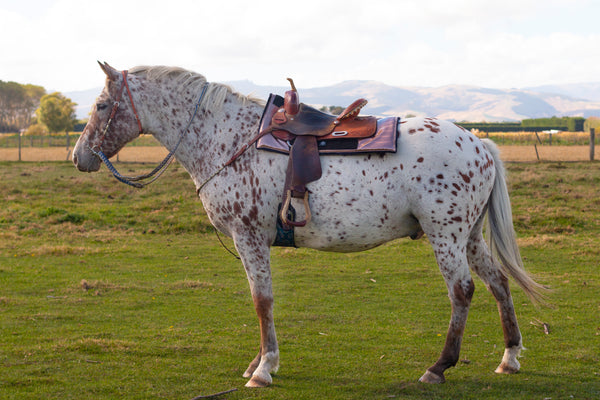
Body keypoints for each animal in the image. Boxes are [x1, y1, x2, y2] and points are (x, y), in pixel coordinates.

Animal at [72, 62, 548, 388]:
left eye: (101, 105)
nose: (79, 157)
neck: (226, 138)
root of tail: (479, 142)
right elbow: (260, 301)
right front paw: (259, 361)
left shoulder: (249, 237)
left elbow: (261, 300)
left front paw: (263, 368)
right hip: (468, 236)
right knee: (498, 283)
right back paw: (509, 356)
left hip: (445, 234)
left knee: (463, 291)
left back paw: (439, 366)